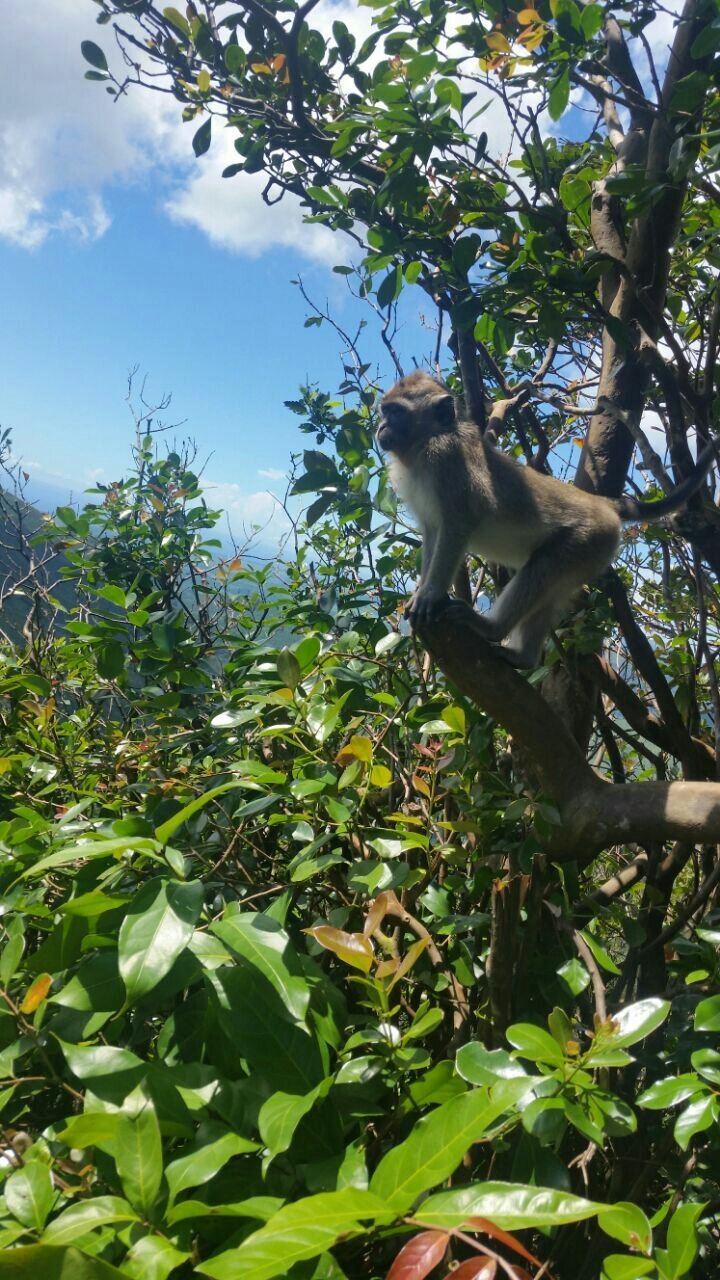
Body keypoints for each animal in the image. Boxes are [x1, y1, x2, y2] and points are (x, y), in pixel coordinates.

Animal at [379, 368, 712, 670]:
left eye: (395, 412)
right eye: (385, 411)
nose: (381, 426)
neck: (424, 443)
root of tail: (600, 503)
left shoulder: (445, 458)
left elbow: (457, 524)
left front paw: (430, 594)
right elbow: (433, 530)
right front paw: (421, 590)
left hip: (589, 538)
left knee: (542, 569)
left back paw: (492, 629)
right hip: (592, 555)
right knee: (549, 590)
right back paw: (524, 657)